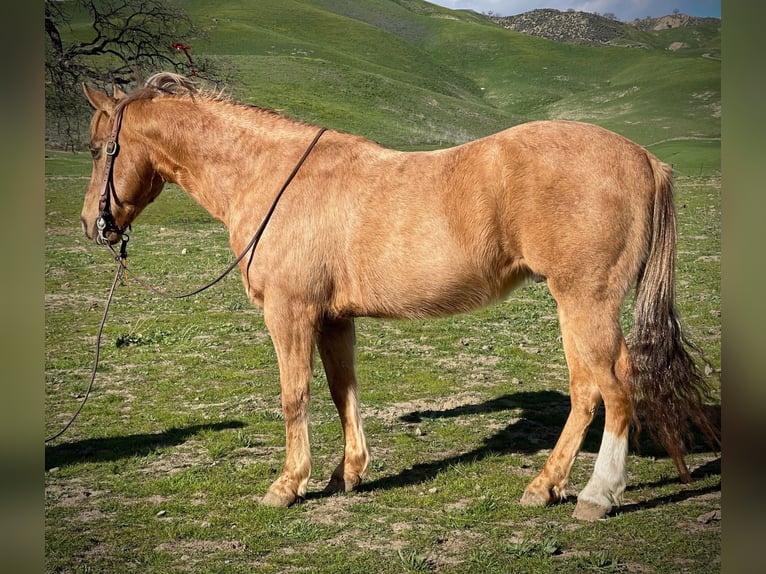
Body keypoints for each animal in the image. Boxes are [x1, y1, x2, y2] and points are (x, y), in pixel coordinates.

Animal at [81, 71, 716, 520]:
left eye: (95, 148)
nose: (92, 224)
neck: (273, 176)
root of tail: (645, 159)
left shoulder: (290, 312)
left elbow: (294, 396)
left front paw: (288, 485)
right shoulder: (334, 319)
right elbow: (342, 391)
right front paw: (347, 474)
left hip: (586, 300)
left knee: (615, 387)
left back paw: (597, 494)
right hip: (574, 306)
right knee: (587, 390)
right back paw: (545, 486)